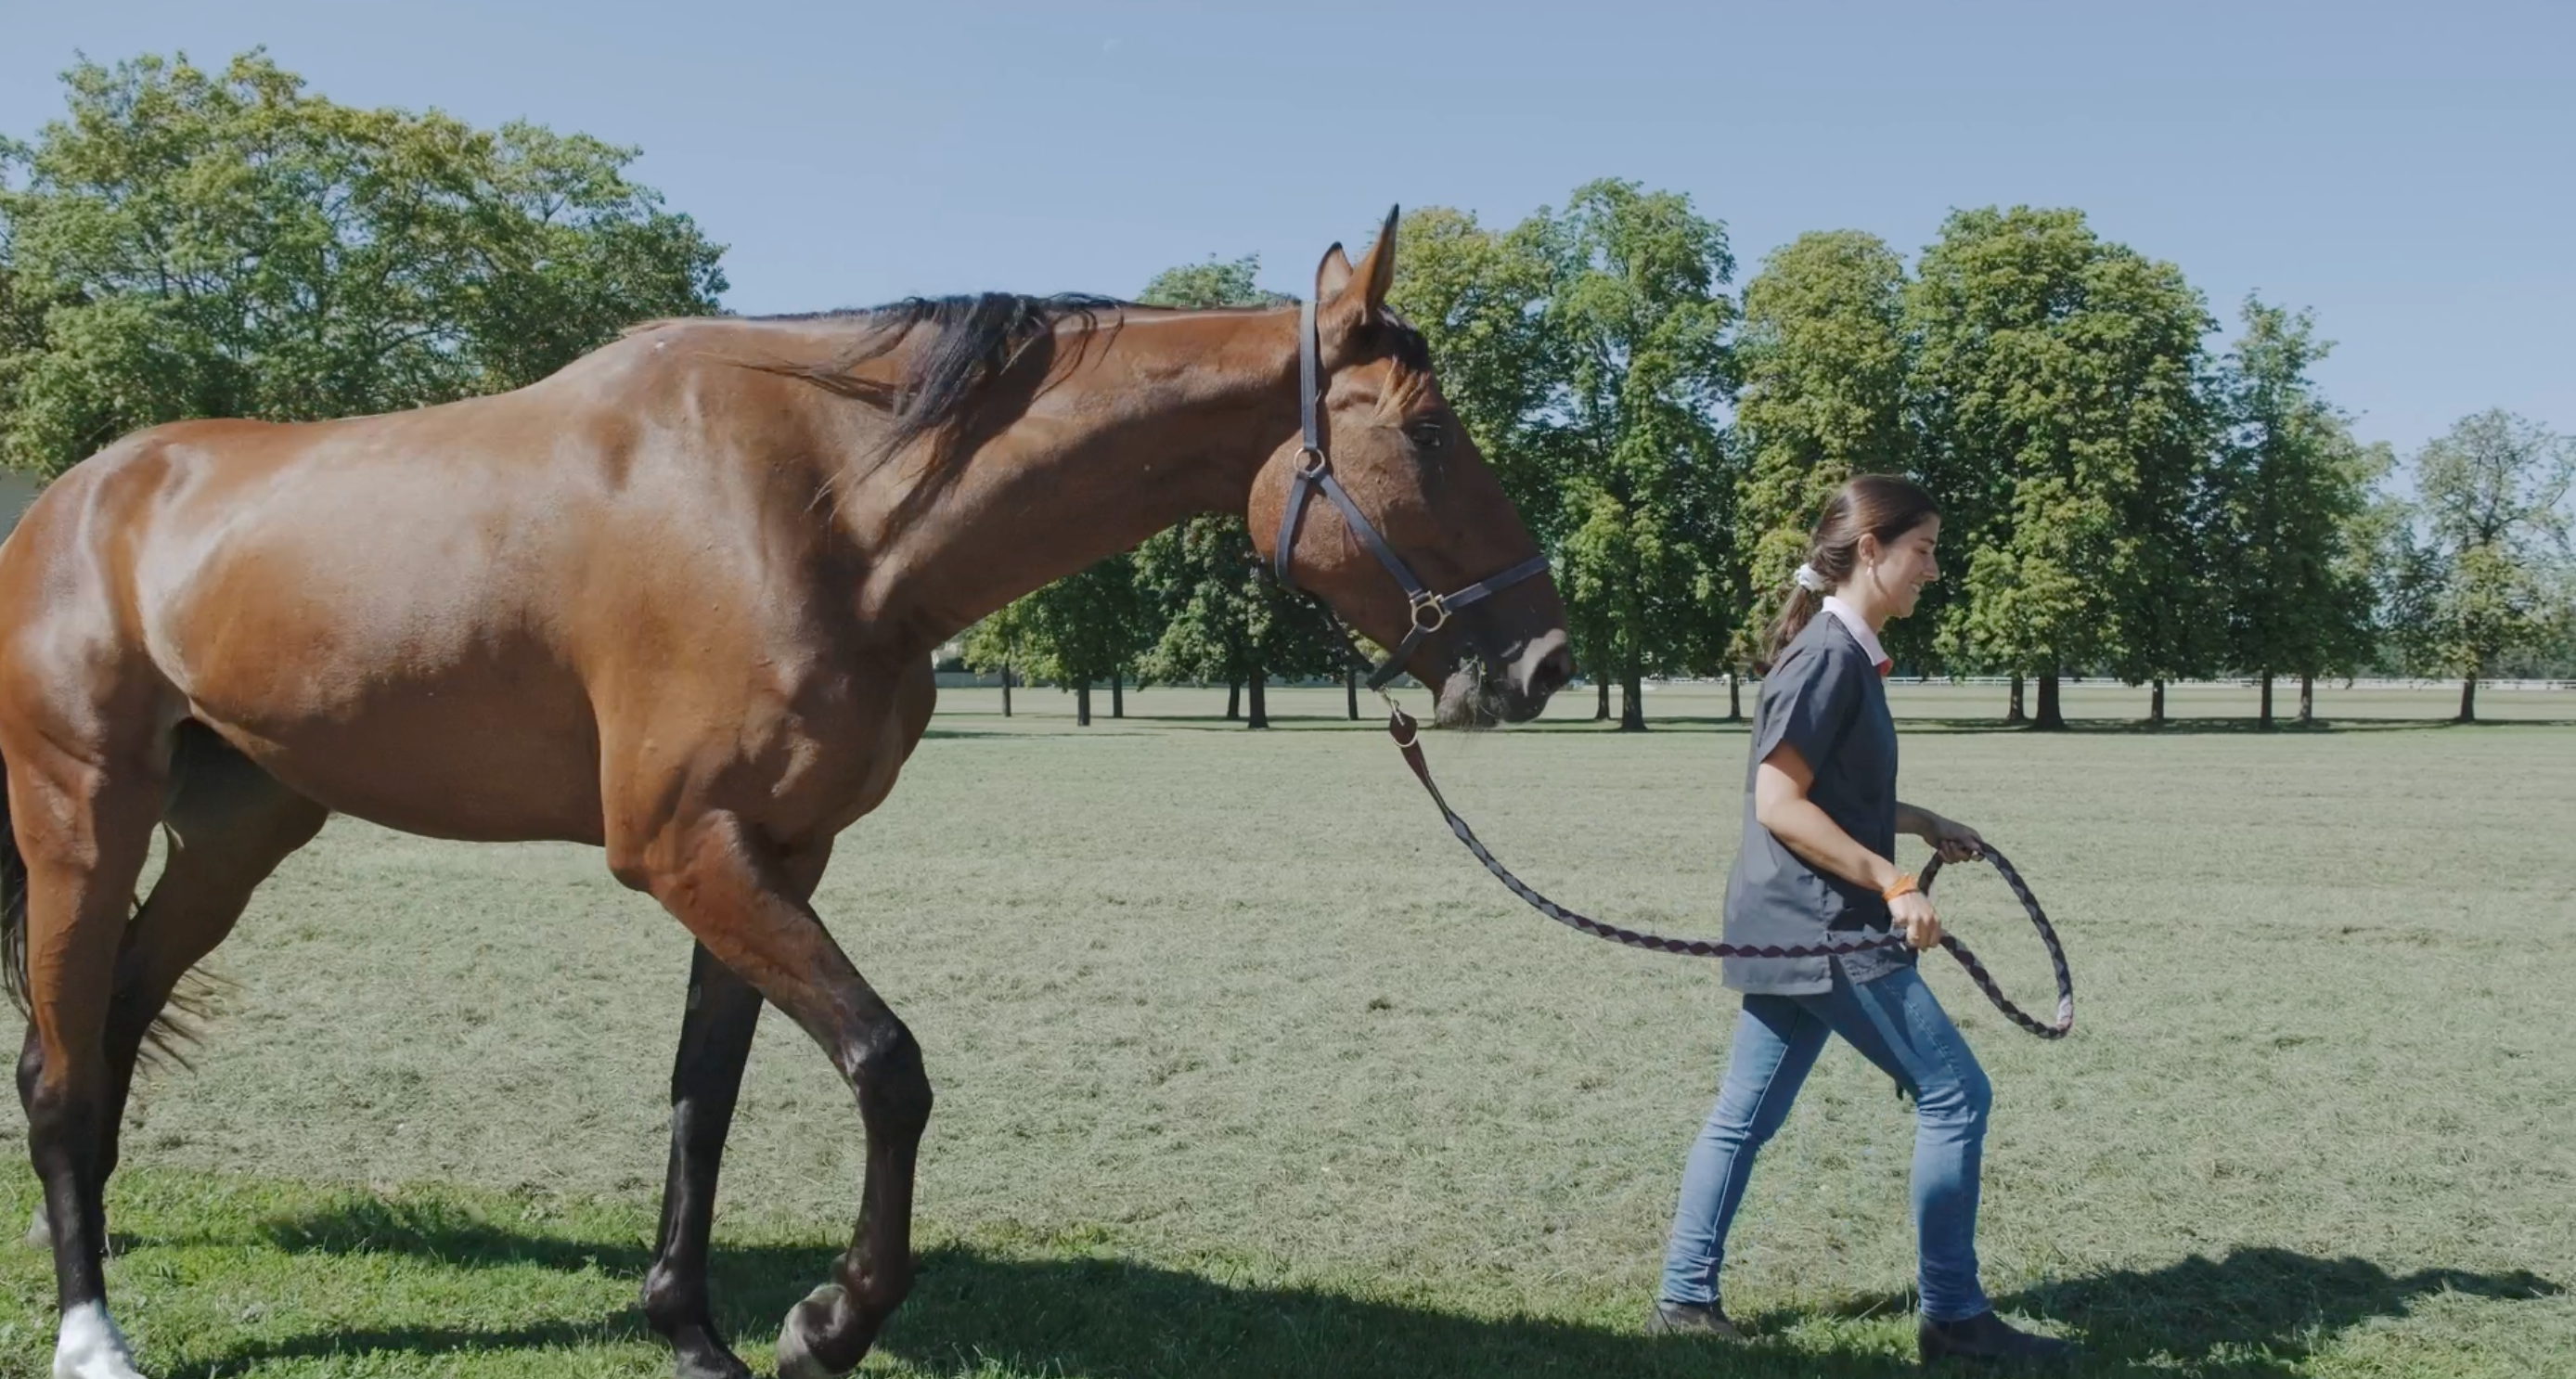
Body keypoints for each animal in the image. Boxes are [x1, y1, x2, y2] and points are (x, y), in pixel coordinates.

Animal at [0, 207, 1565, 1379]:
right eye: (1428, 436)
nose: (1543, 658)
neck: (816, 507)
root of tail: (75, 496)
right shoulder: (684, 849)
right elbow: (886, 1064)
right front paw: (829, 1319)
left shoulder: (773, 853)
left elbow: (708, 1094)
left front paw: (692, 1329)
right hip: (83, 820)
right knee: (60, 1065)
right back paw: (91, 1331)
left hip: (233, 835)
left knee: (108, 1031)